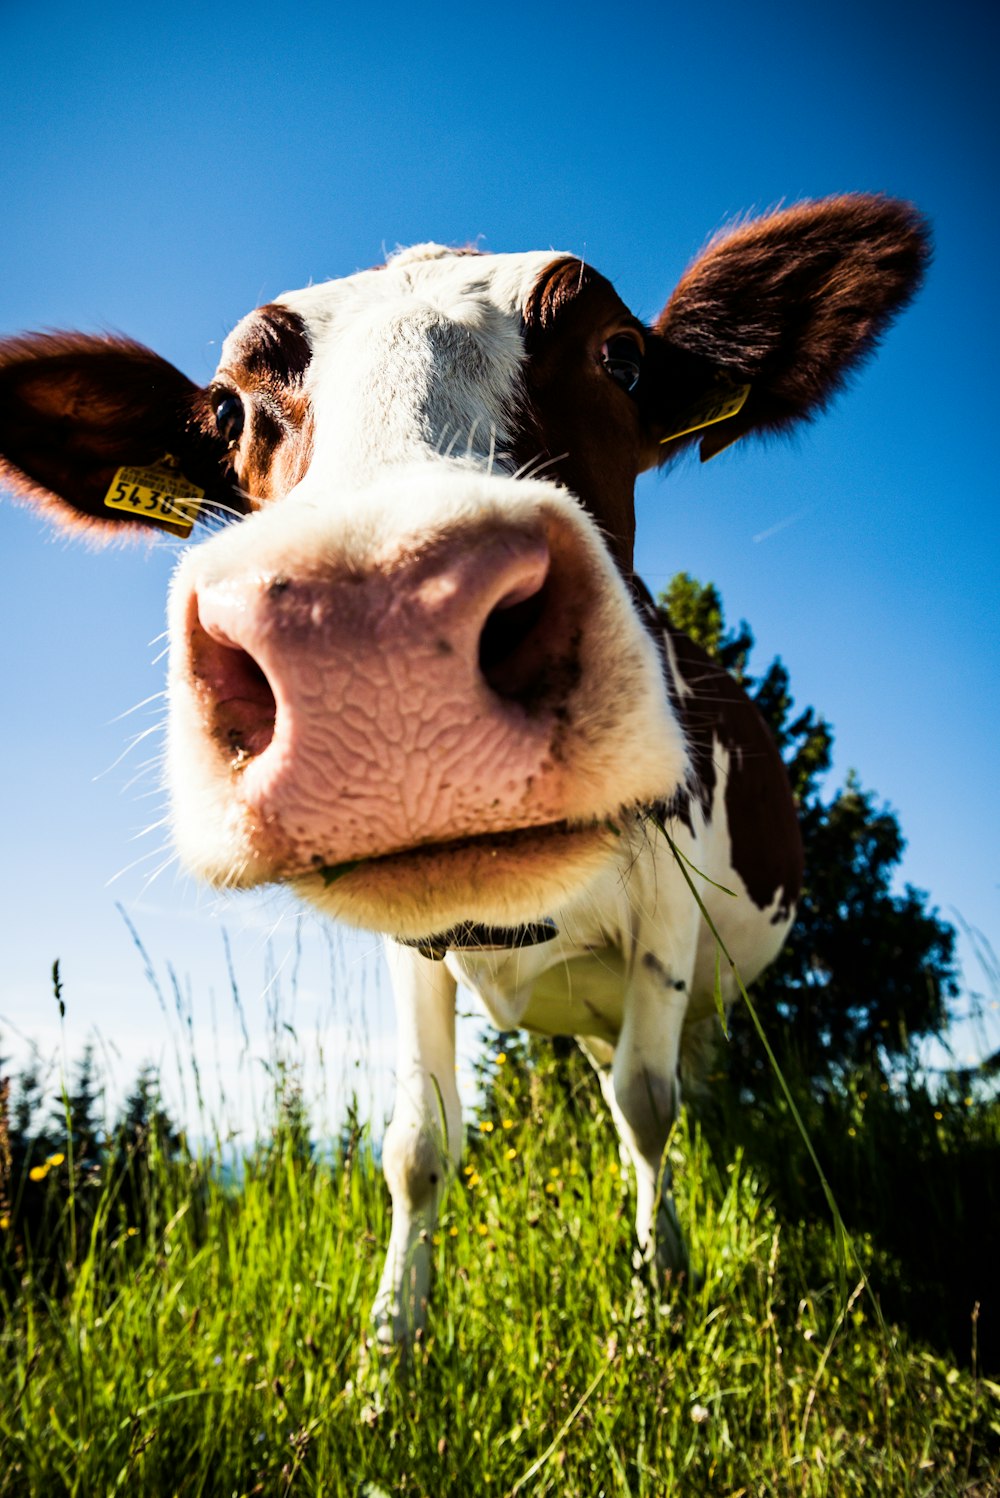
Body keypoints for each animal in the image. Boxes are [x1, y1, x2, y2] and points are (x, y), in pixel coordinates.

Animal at [0, 193, 928, 1354]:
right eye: (225, 409)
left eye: (621, 354)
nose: (377, 625)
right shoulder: (415, 954)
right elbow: (417, 1144)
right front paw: (390, 1351)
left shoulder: (672, 914)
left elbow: (650, 1106)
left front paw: (651, 1300)